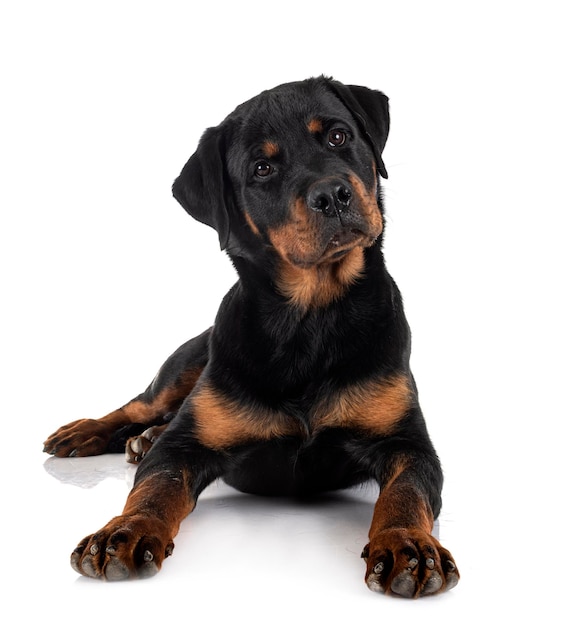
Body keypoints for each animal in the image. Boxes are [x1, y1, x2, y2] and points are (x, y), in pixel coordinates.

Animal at [43, 74, 458, 596]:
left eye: (338, 136)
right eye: (262, 169)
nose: (332, 194)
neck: (309, 319)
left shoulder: (408, 444)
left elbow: (405, 492)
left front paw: (407, 545)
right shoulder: (181, 449)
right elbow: (157, 488)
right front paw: (125, 532)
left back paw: (143, 439)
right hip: (185, 364)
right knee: (140, 406)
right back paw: (90, 432)